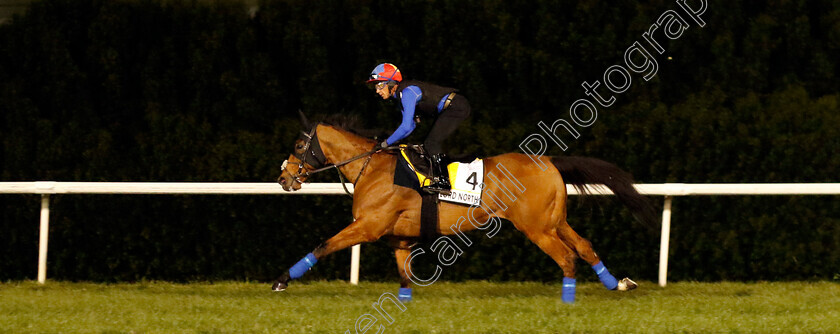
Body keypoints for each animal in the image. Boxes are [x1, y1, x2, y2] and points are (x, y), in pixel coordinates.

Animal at [276, 113, 656, 304]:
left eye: (299, 145)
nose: (283, 177)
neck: (372, 167)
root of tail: (549, 160)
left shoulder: (368, 226)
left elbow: (323, 245)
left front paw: (282, 280)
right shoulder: (399, 238)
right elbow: (404, 275)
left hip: (536, 227)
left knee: (566, 258)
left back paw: (568, 302)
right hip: (554, 221)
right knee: (585, 247)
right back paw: (618, 284)